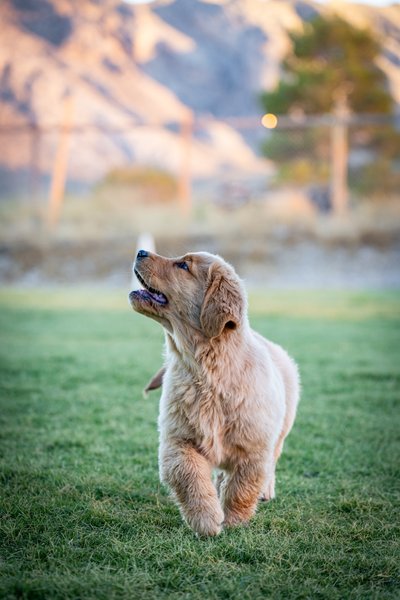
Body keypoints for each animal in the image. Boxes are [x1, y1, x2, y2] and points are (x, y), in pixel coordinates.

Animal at [129, 251, 300, 536]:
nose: (140, 251)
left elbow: (242, 488)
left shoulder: (253, 449)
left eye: (183, 265)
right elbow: (190, 478)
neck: (206, 371)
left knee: (271, 463)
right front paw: (207, 519)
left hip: (281, 430)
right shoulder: (178, 441)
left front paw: (233, 520)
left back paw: (265, 491)